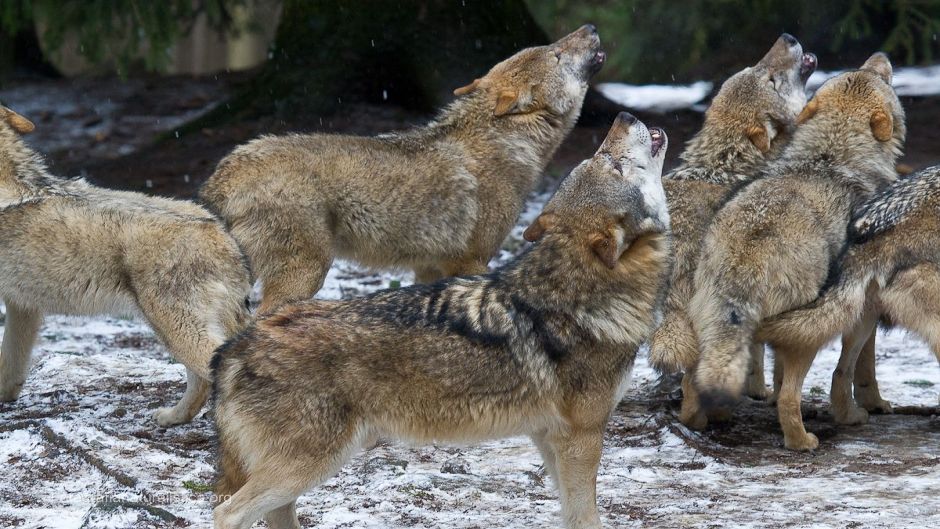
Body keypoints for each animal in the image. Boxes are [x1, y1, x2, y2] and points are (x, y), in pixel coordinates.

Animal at [201, 25, 604, 314]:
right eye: (555, 52)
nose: (590, 25)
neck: (507, 145)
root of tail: (225, 171)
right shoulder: (472, 260)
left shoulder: (430, 268)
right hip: (306, 275)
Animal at [210, 112, 672, 528]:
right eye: (606, 159)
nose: (623, 114)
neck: (585, 293)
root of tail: (237, 346)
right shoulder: (582, 437)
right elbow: (586, 516)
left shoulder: (548, 436)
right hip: (308, 464)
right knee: (226, 512)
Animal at [648, 33, 816, 426]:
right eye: (769, 78)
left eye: (756, 65)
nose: (788, 37)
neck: (727, 163)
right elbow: (754, 350)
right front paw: (758, 390)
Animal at [692, 54, 904, 450]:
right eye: (878, 76)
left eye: (860, 70)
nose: (881, 57)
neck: (830, 155)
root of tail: (748, 247)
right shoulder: (863, 307)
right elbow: (854, 367)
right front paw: (862, 409)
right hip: (806, 333)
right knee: (791, 397)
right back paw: (802, 441)